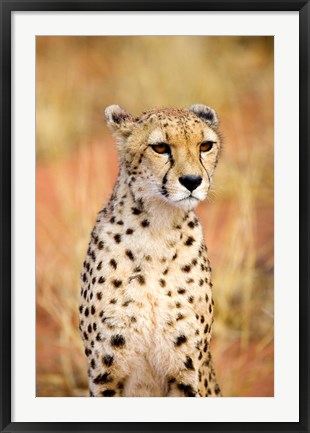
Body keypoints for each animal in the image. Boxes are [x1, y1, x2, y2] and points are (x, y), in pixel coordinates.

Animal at [78, 103, 222, 396]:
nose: (192, 181)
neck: (157, 227)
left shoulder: (186, 374)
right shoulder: (105, 374)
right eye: (160, 148)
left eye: (205, 146)